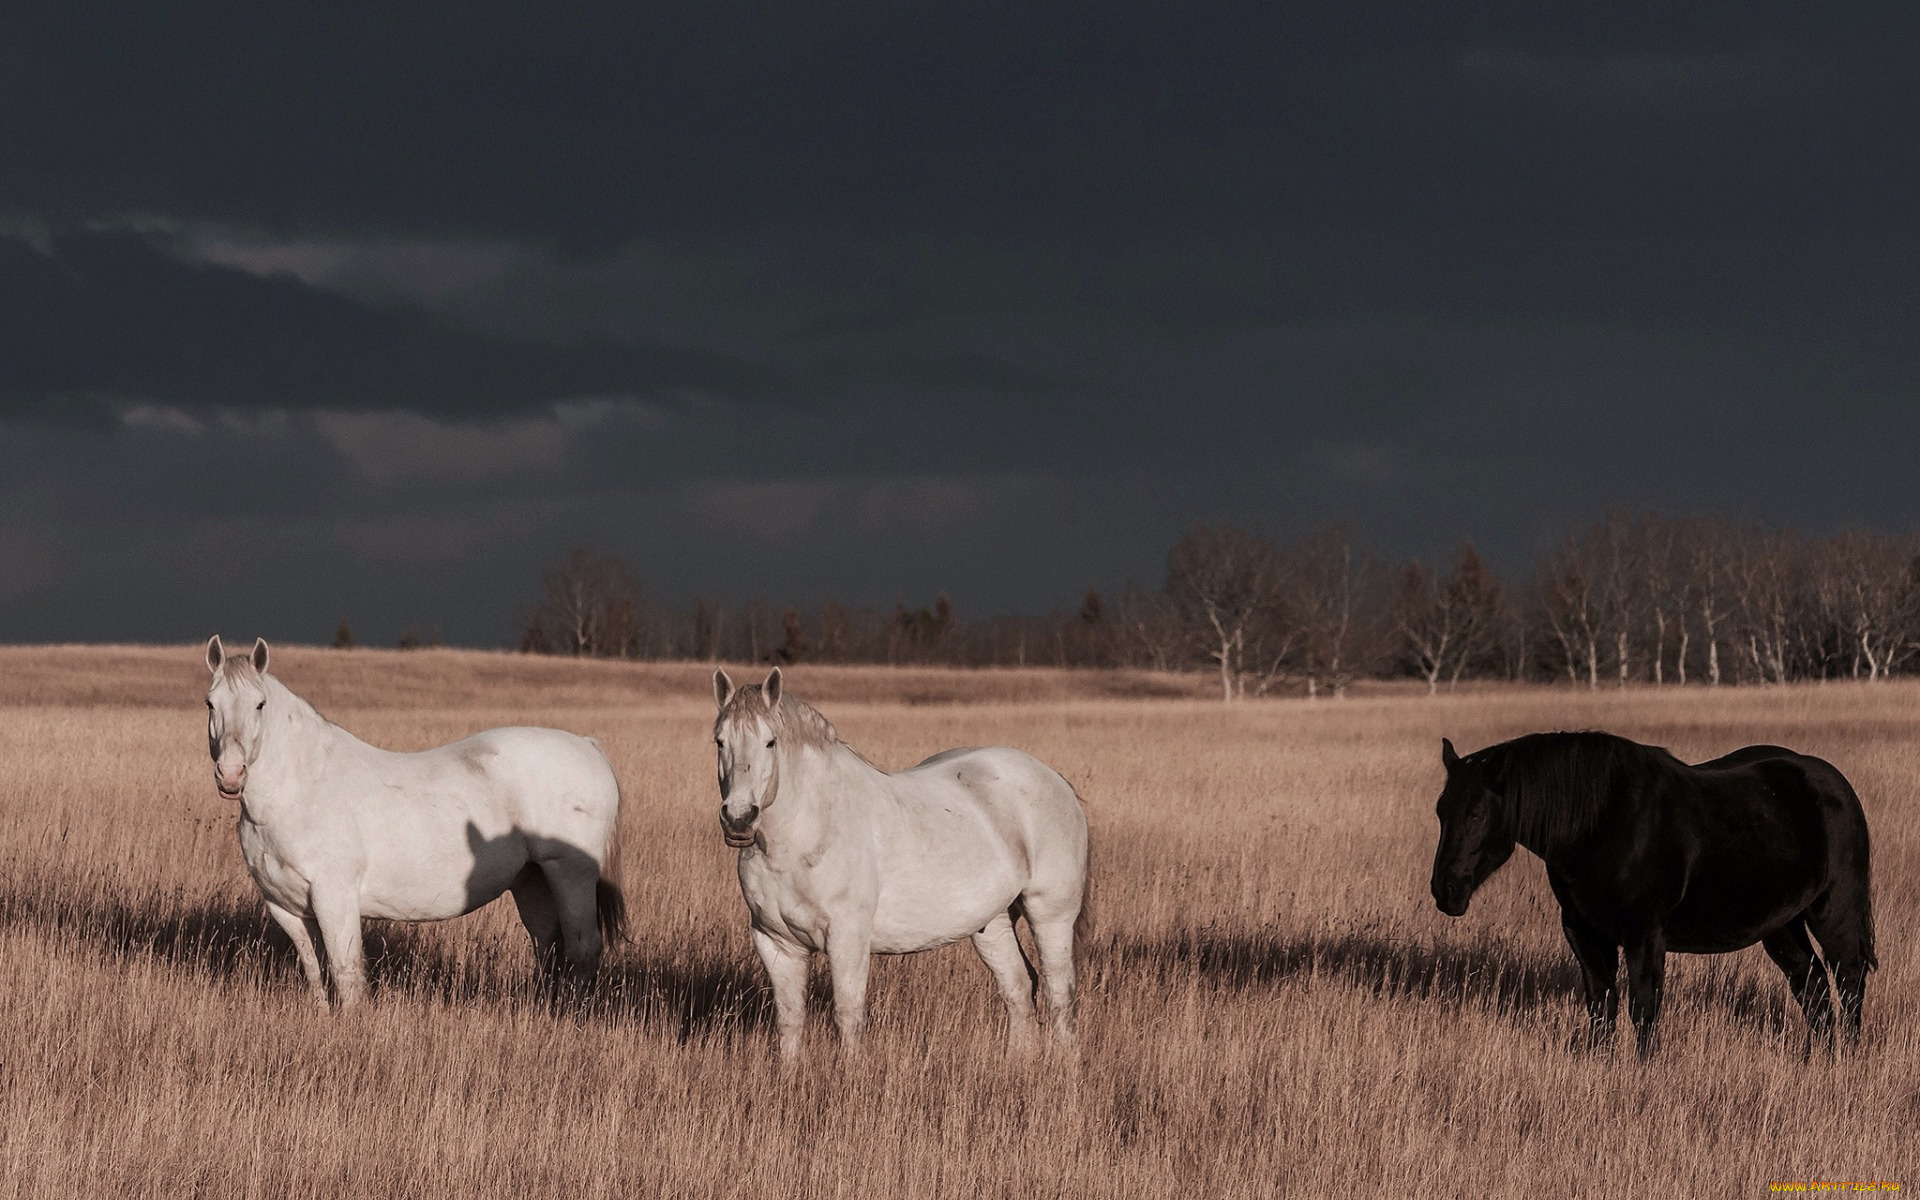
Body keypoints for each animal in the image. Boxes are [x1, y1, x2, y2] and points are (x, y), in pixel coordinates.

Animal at [202, 633, 622, 1006]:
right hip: (532, 879)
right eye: (210, 703)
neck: (300, 790)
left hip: (570, 873)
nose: (231, 775)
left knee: (583, 947)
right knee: (548, 945)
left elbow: (345, 971)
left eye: (260, 704)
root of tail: (589, 747)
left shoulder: (335, 897)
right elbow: (316, 971)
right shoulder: (285, 907)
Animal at [714, 664, 1090, 1059]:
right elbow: (789, 1021)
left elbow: (848, 1016)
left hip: (1050, 914)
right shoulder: (776, 943)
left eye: (770, 742)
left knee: (1059, 992)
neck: (804, 836)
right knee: (1018, 987)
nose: (739, 819)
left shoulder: (847, 938)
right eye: (720, 741)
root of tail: (1053, 778)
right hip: (992, 922)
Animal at [1428, 729, 1873, 1059]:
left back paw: (1848, 1059)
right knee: (1811, 984)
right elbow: (1601, 1003)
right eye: (1440, 811)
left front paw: (1644, 1071)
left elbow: (1642, 1007)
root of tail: (1837, 786)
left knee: (1848, 979)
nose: (1444, 890)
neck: (1601, 823)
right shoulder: (1584, 931)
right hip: (1781, 923)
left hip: (1833, 910)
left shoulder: (1644, 935)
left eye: (1476, 814)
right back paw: (1818, 1058)